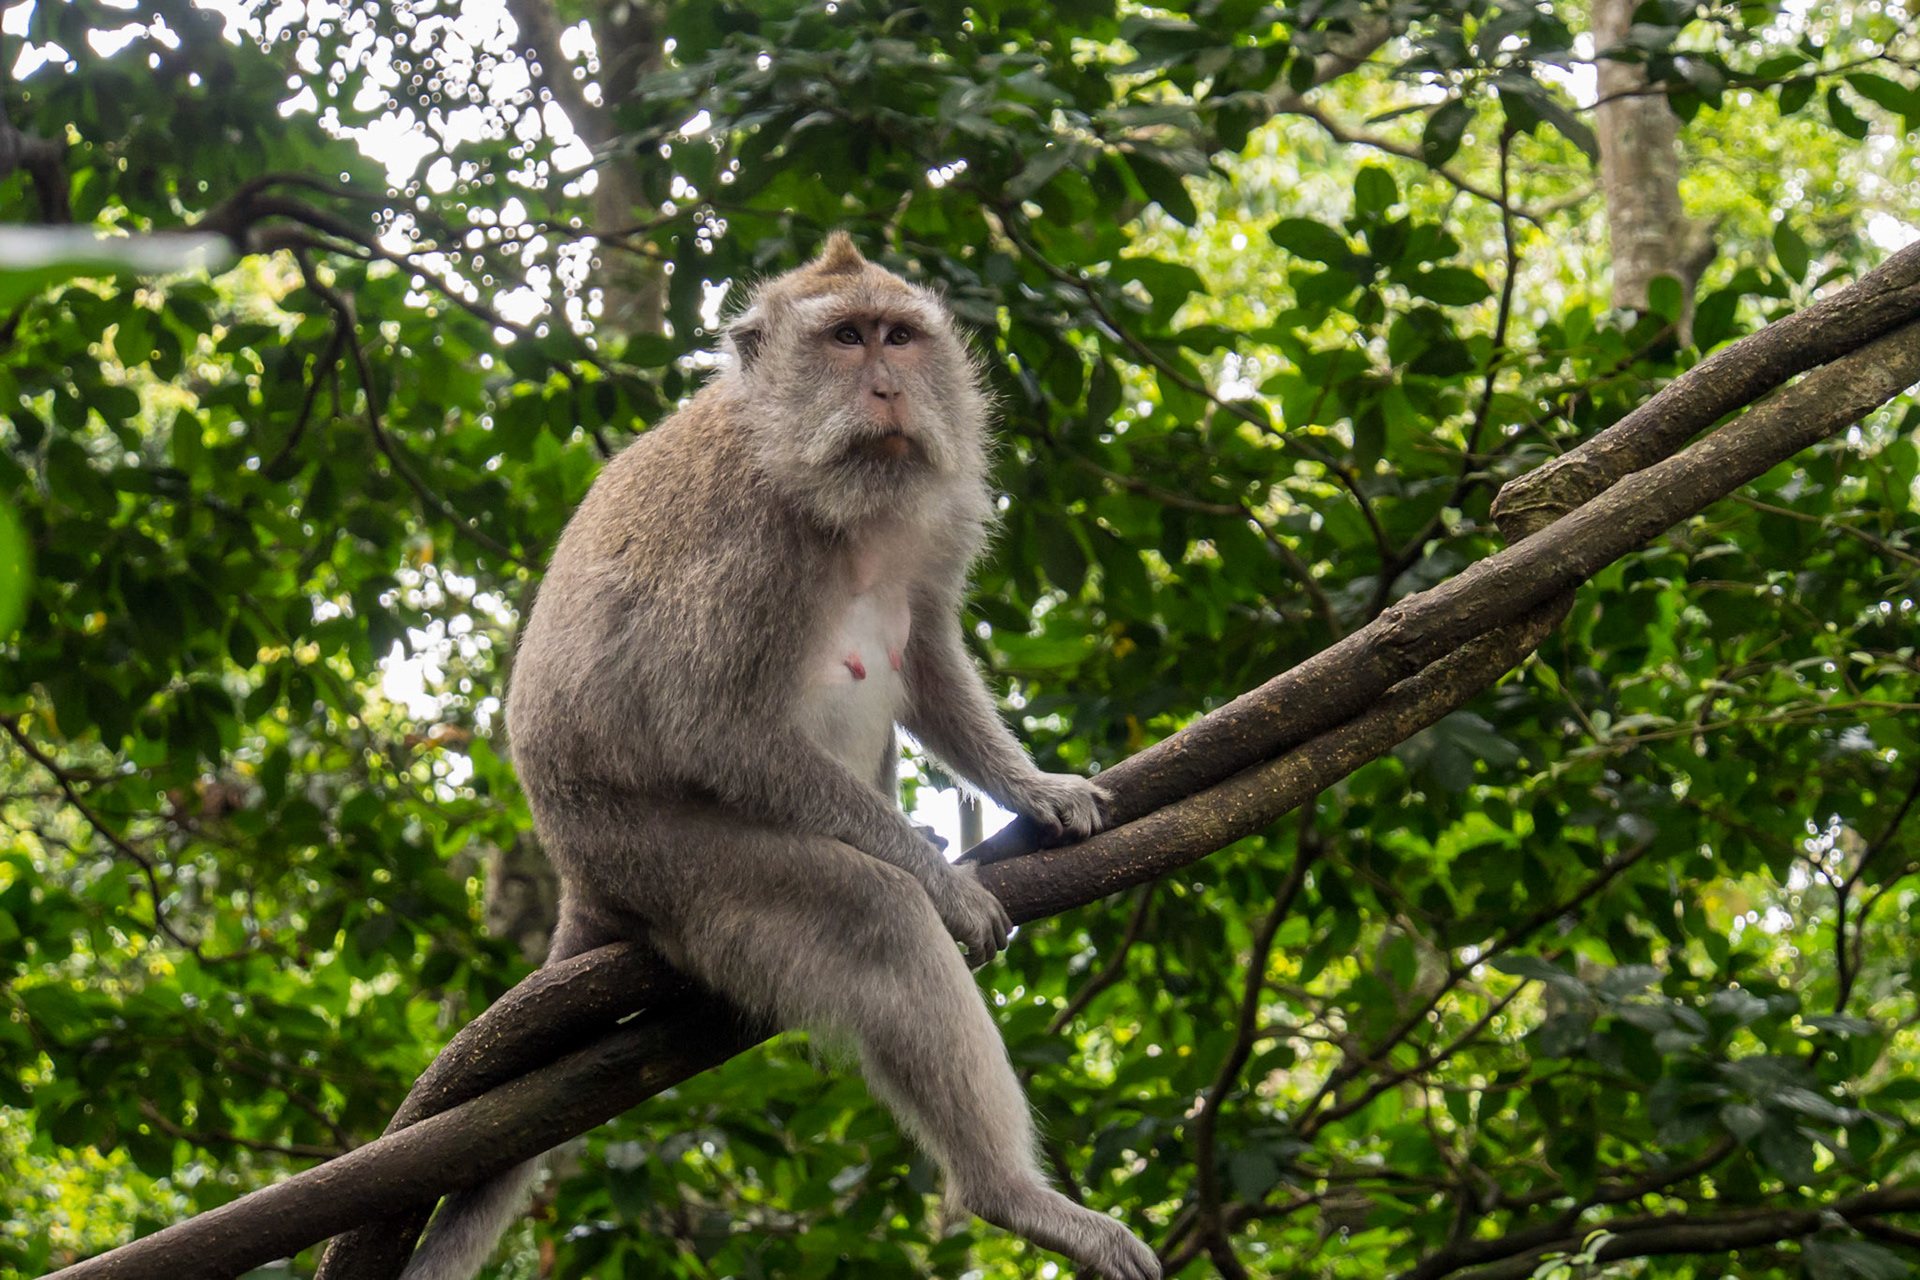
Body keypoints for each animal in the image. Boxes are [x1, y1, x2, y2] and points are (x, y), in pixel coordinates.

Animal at [399, 233, 1161, 1280]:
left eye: (898, 336)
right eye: (844, 339)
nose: (885, 388)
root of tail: (578, 875)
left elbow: (926, 654)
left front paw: (1034, 786)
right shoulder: (748, 546)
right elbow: (712, 726)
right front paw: (942, 880)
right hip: (672, 867)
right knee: (874, 918)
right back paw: (1010, 1194)